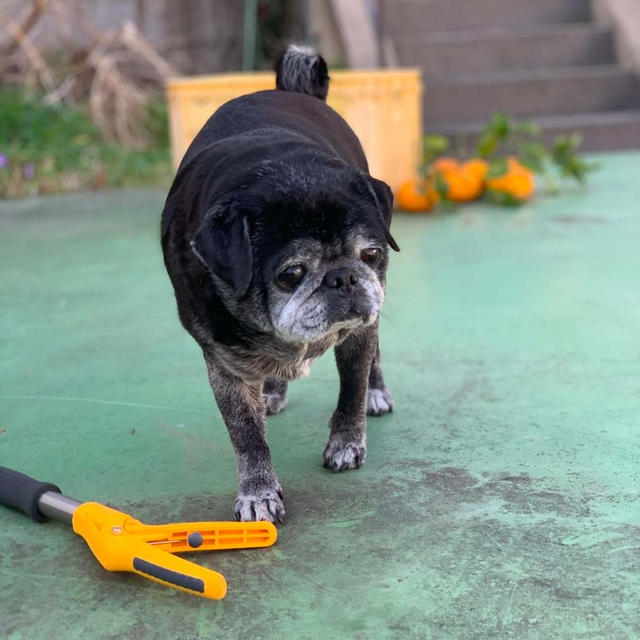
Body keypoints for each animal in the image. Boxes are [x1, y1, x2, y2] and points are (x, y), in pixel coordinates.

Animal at [162, 47, 398, 524]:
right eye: (291, 274)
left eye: (371, 254)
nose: (344, 277)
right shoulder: (226, 367)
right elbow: (246, 435)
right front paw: (257, 491)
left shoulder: (358, 334)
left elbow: (350, 392)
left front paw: (347, 443)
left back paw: (376, 391)